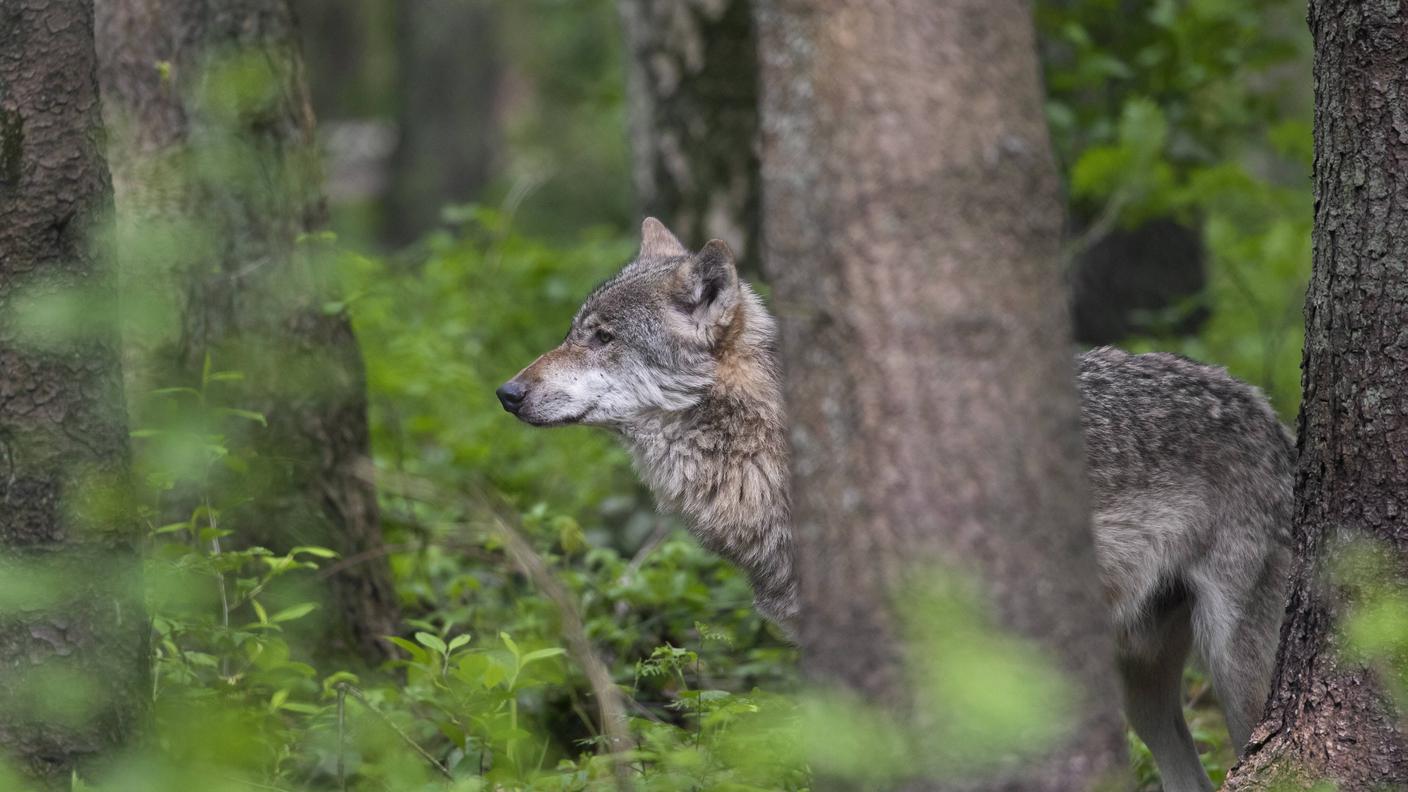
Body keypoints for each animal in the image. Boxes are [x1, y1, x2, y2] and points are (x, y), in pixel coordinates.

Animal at [501, 217, 1289, 789]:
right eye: (574, 329)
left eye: (601, 337)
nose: (507, 392)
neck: (771, 452)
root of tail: (1269, 412)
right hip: (1142, 688)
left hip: (1238, 673)